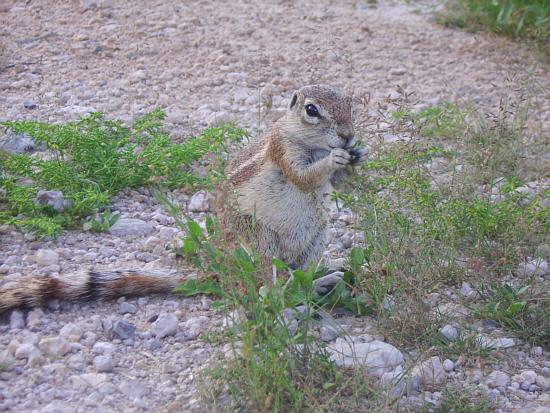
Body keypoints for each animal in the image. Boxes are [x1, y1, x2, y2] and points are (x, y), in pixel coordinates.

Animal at [219, 85, 366, 268]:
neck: (318, 149)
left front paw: (361, 154)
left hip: (318, 237)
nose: (347, 135)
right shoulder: (283, 149)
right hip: (256, 233)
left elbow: (341, 185)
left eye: (351, 108)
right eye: (311, 110)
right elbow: (302, 178)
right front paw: (333, 158)